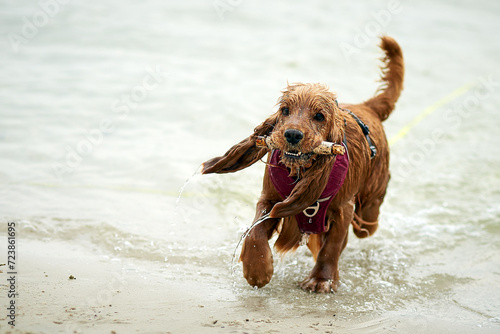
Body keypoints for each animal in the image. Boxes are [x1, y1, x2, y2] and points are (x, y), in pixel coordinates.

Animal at [201, 36, 404, 292]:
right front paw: (257, 271)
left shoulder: (342, 209)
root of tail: (367, 106)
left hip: (370, 200)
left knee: (368, 217)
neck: (302, 172)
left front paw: (321, 280)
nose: (292, 134)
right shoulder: (270, 198)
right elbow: (255, 231)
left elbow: (331, 248)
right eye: (285, 110)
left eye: (319, 116)